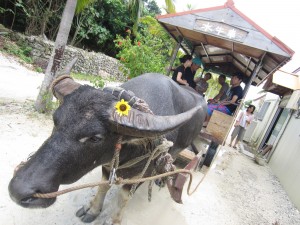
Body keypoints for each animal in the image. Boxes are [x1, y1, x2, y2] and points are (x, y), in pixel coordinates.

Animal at [8, 60, 207, 224]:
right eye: (55, 119)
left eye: (95, 138)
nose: (19, 189)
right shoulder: (107, 163)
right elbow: (103, 185)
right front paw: (92, 209)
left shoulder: (141, 174)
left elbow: (124, 197)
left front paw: (114, 220)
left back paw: (161, 178)